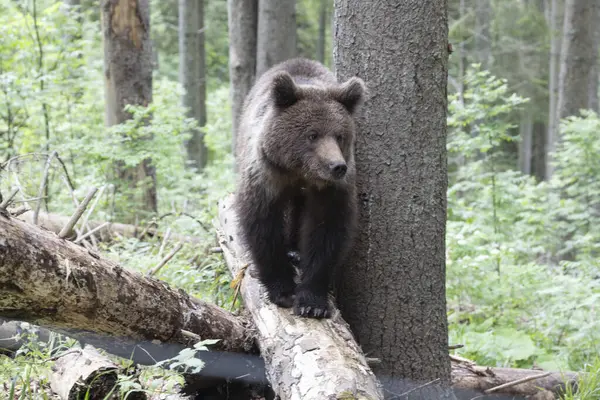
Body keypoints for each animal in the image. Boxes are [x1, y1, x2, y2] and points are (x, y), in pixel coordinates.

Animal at [234, 57, 366, 318]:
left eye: (340, 136)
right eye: (312, 135)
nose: (337, 166)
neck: (300, 173)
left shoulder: (331, 191)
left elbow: (326, 231)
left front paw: (312, 302)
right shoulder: (266, 176)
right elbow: (263, 226)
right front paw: (283, 290)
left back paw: (295, 250)